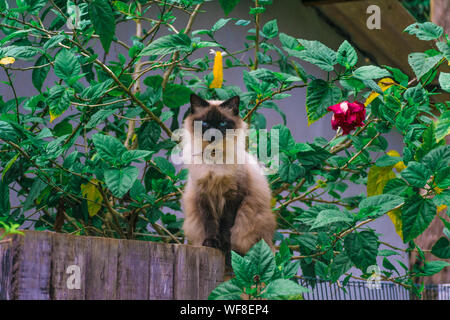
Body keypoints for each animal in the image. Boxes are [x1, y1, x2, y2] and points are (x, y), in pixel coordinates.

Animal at [181, 92, 276, 262]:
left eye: (222, 123)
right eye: (205, 123)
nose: (212, 134)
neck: (214, 159)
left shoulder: (234, 195)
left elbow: (226, 225)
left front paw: (224, 245)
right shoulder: (203, 195)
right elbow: (210, 223)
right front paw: (211, 242)